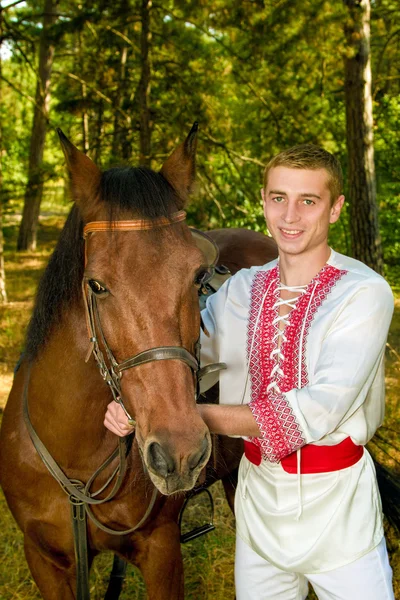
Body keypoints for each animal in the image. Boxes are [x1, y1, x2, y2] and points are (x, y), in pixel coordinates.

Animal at [0, 123, 280, 600]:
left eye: (197, 277)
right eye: (96, 285)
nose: (180, 452)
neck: (75, 464)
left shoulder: (161, 551)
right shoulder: (43, 560)